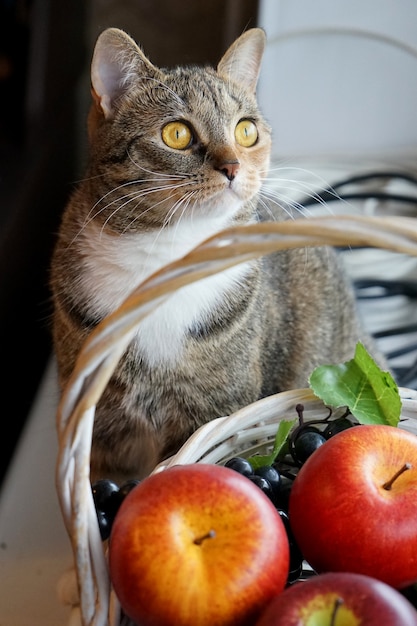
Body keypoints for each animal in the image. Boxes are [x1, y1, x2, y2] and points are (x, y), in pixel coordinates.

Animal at [50, 25, 382, 482]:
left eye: (246, 131)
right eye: (176, 134)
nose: (233, 167)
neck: (164, 255)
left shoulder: (213, 408)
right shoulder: (97, 425)